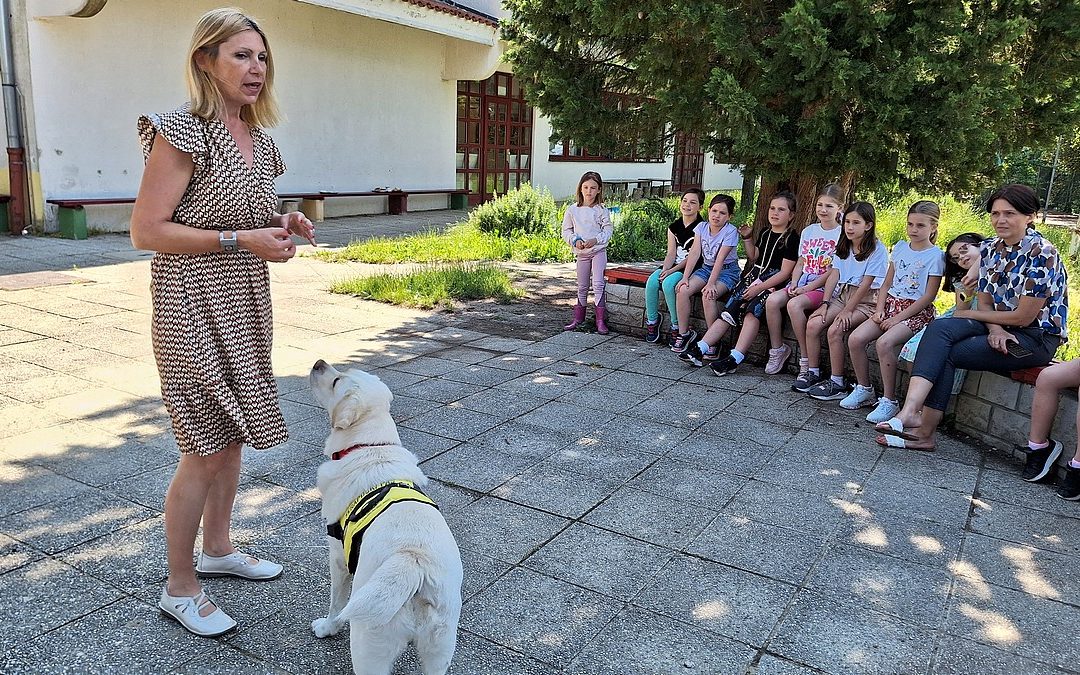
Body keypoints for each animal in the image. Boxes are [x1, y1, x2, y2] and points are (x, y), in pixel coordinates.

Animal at [306, 360, 462, 673]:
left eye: (336, 380)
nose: (318, 363)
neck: (371, 446)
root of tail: (413, 562)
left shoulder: (337, 557)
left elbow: (335, 602)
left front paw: (328, 627)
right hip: (439, 647)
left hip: (369, 639)